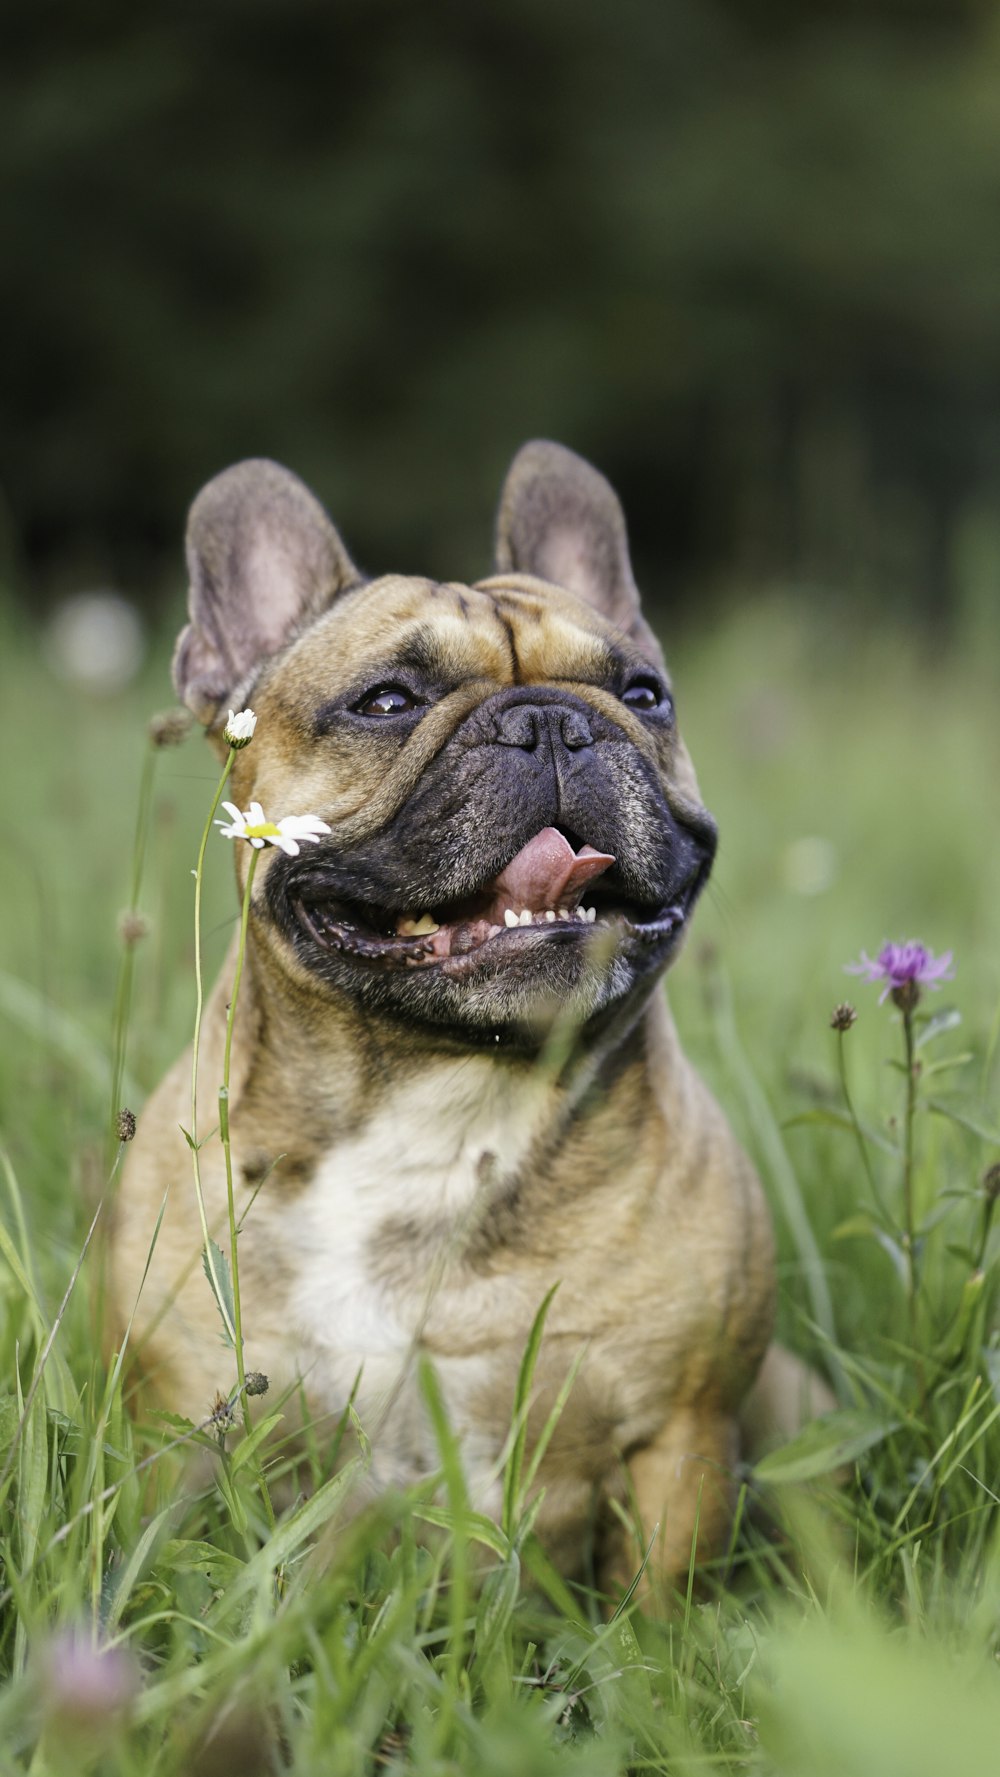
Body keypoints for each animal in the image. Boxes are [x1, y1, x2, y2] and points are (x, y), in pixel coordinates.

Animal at [113, 437, 777, 1592]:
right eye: (386, 701)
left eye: (644, 693)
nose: (553, 721)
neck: (441, 1085)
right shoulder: (180, 1429)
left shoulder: (680, 1440)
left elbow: (662, 1603)